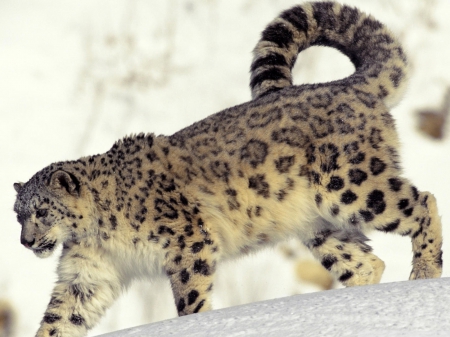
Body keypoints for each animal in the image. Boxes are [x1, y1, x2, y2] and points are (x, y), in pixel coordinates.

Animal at [13, 2, 442, 336]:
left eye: (42, 211)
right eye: (17, 214)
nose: (26, 242)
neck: (96, 233)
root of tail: (350, 85)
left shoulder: (186, 241)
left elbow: (190, 294)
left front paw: (195, 324)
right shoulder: (88, 273)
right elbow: (61, 317)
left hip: (352, 185)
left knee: (423, 201)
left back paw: (424, 272)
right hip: (320, 226)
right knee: (366, 262)